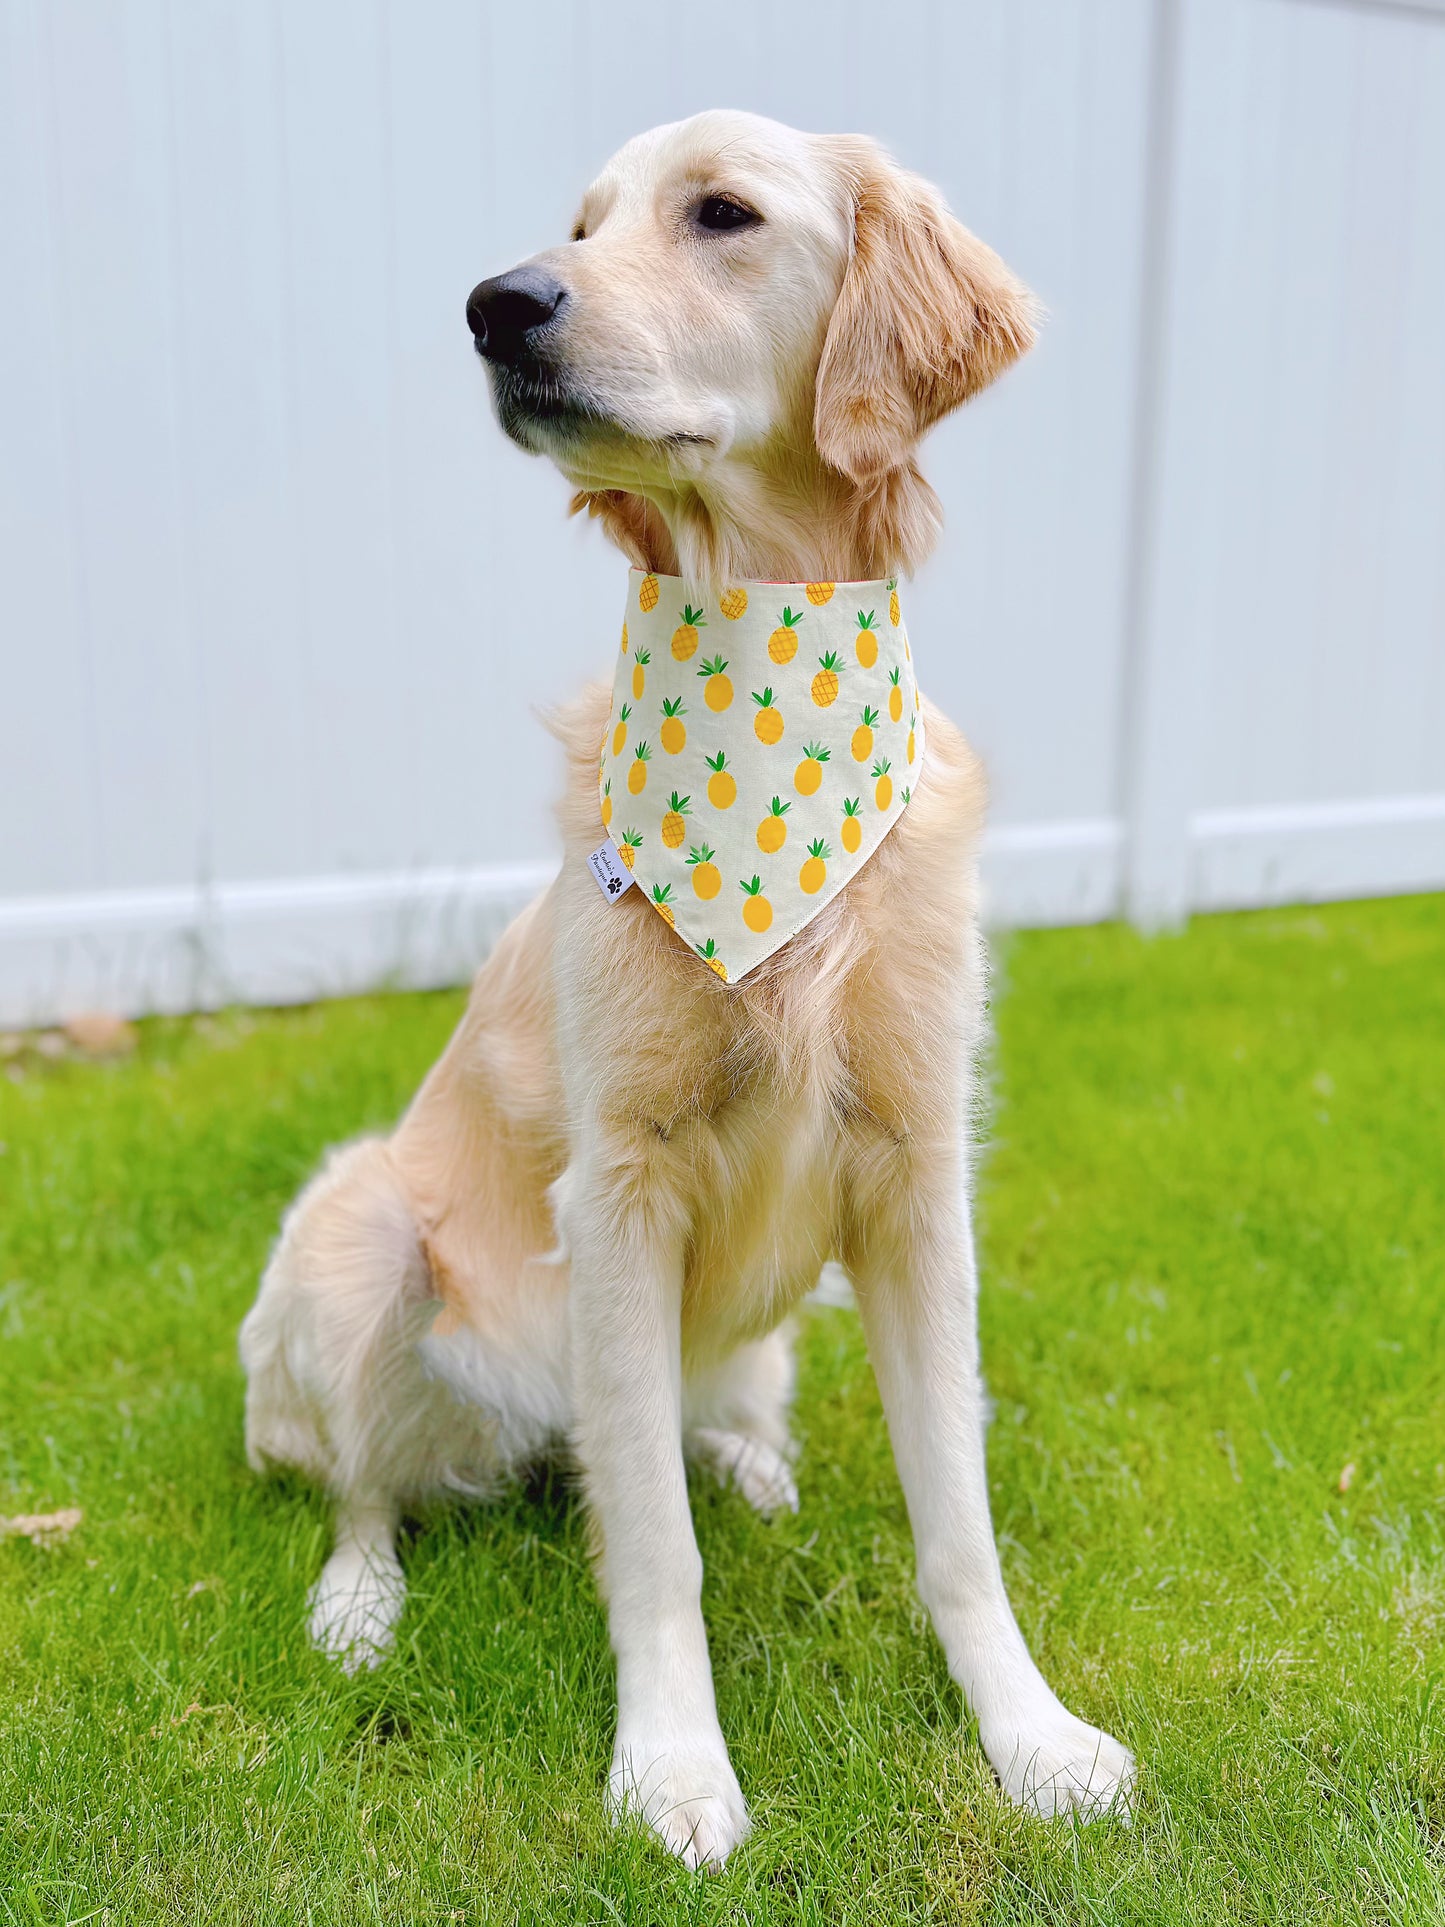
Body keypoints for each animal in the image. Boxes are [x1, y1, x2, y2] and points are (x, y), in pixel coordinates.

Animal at [240, 109, 1140, 1865]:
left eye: (720, 214)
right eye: (579, 226)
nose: (497, 304)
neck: (764, 653)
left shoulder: (918, 1178)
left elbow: (958, 1522)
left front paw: (1032, 1736)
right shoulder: (620, 1189)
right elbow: (650, 1548)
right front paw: (670, 1769)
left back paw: (749, 1457)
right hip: (360, 1235)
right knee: (367, 1487)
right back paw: (357, 1606)